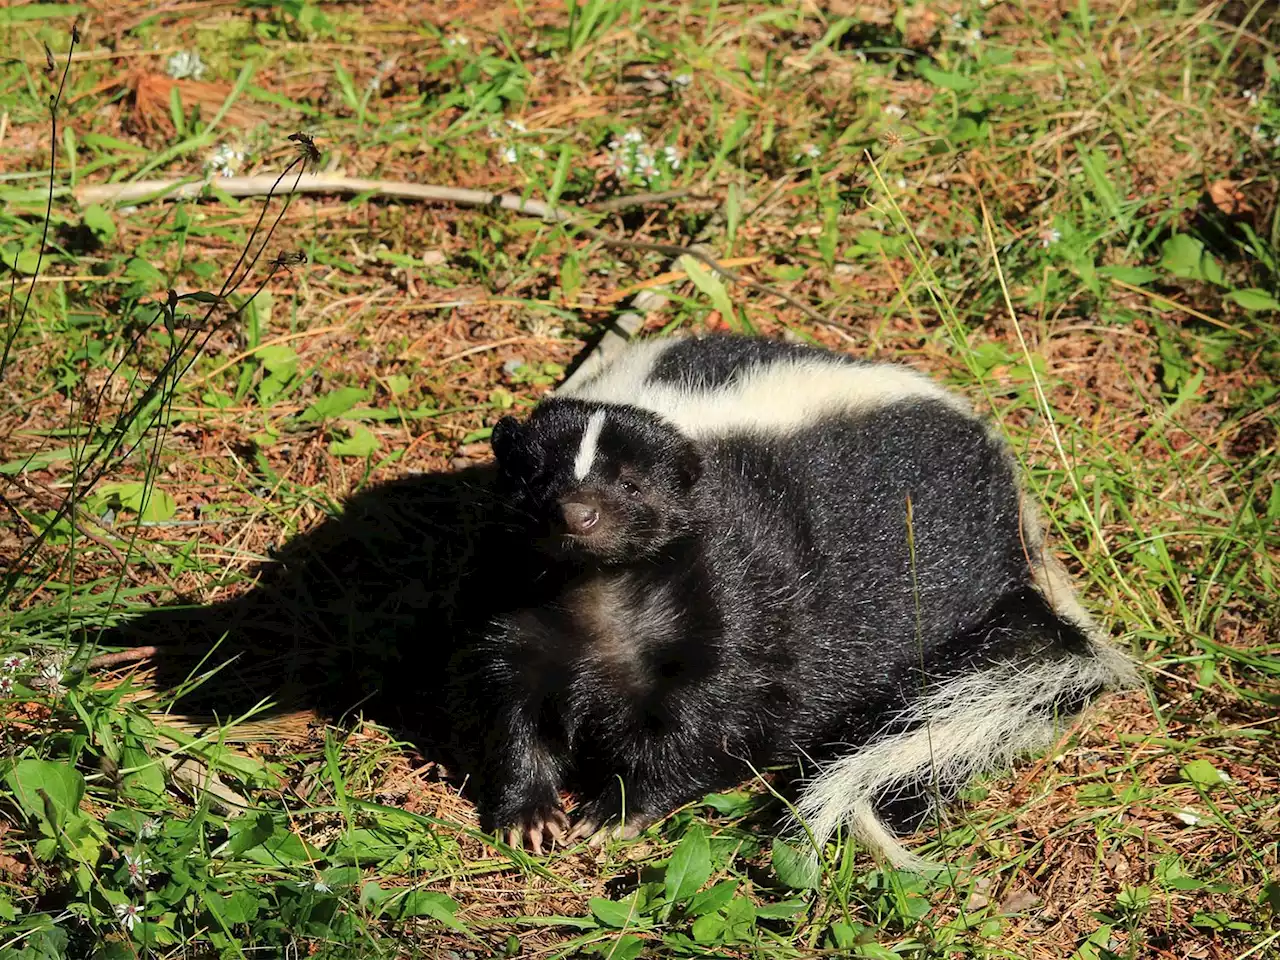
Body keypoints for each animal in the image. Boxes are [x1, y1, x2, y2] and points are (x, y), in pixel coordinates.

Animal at [448, 335, 1131, 870]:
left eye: (632, 485)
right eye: (537, 479)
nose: (578, 514)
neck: (598, 589)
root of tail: (1020, 510)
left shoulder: (742, 587)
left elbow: (717, 712)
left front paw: (616, 811)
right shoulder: (513, 602)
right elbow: (514, 705)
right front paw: (530, 814)